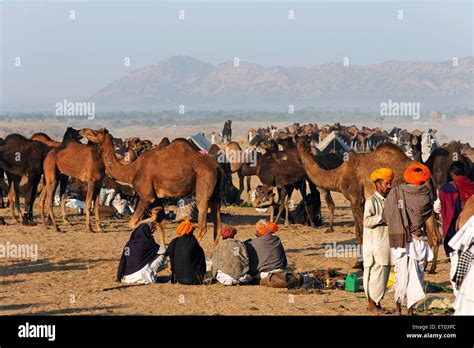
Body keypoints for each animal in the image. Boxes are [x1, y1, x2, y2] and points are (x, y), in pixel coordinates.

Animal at [80, 128, 223, 242]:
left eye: (96, 132)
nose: (82, 130)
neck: (132, 171)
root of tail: (217, 167)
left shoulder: (147, 196)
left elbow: (132, 223)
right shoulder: (157, 198)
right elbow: (160, 222)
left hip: (204, 186)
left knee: (203, 226)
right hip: (216, 195)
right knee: (218, 229)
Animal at [298, 139, 442, 272]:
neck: (338, 175)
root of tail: (430, 177)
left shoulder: (356, 198)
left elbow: (361, 233)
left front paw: (361, 264)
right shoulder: (359, 201)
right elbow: (358, 232)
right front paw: (360, 263)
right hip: (426, 204)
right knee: (434, 236)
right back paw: (429, 267)